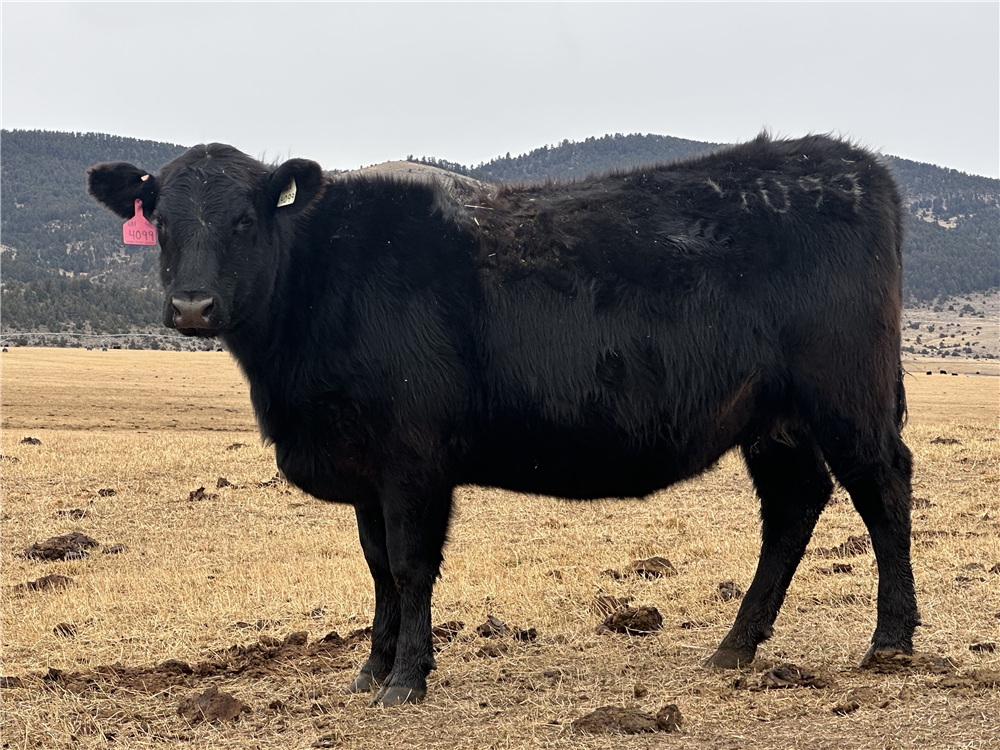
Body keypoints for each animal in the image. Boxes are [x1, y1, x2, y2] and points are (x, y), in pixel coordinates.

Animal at [87, 133, 918, 706]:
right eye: (162, 220)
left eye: (242, 221)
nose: (193, 306)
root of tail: (846, 163)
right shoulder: (364, 469)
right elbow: (377, 567)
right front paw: (371, 670)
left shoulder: (413, 459)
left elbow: (411, 565)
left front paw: (407, 681)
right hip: (772, 419)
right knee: (794, 505)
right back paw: (736, 647)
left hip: (847, 395)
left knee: (882, 489)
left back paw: (891, 640)